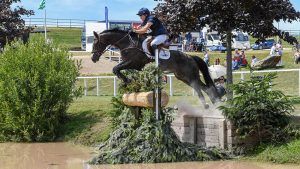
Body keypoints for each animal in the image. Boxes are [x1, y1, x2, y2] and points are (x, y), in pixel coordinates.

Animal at [91, 28, 220, 108]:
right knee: (203, 87)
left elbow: (116, 68)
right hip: (183, 77)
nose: (93, 58)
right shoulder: (133, 65)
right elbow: (117, 69)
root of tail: (190, 56)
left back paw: (208, 104)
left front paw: (127, 80)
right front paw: (128, 81)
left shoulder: (133, 62)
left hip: (190, 76)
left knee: (201, 87)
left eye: (96, 43)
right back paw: (213, 103)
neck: (127, 44)